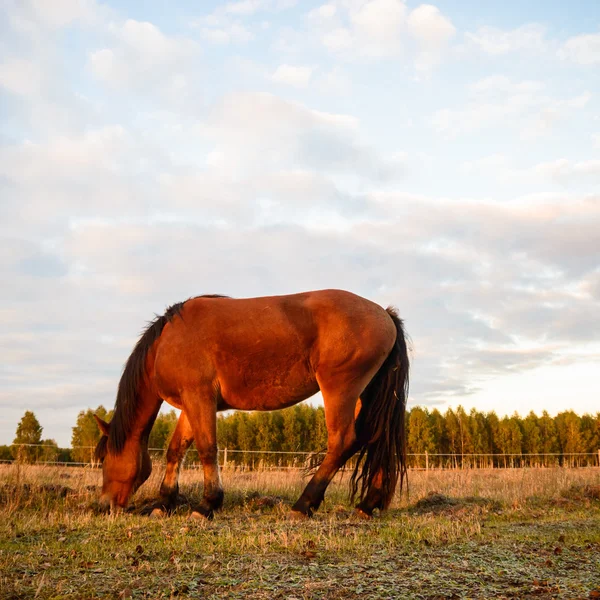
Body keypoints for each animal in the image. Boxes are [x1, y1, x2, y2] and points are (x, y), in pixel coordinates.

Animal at [94, 288, 410, 516]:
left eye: (104, 459)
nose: (105, 505)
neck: (167, 341)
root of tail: (384, 314)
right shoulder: (190, 403)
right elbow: (175, 450)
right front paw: (164, 503)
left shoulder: (199, 397)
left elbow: (207, 449)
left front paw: (207, 505)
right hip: (365, 396)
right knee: (375, 439)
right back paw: (367, 505)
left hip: (340, 390)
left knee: (342, 442)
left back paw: (303, 505)